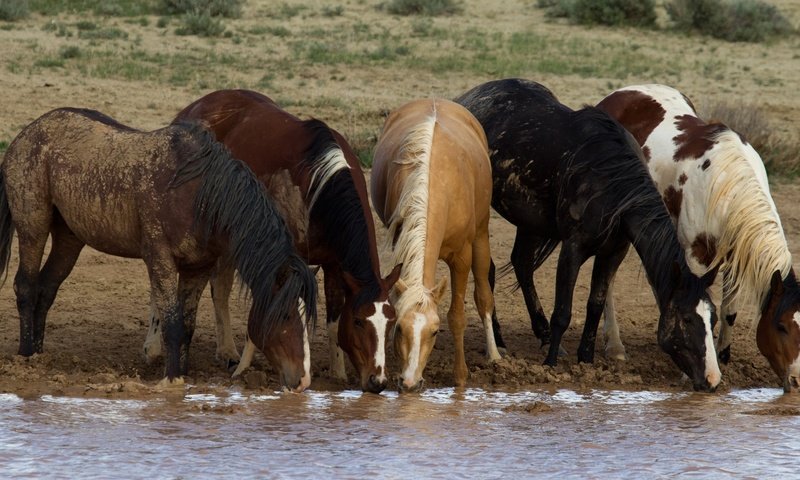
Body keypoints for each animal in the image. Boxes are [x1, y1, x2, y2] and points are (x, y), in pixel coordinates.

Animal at [0, 107, 318, 392]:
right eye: (285, 314)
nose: (303, 381)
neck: (198, 195)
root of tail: (24, 135)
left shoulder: (197, 268)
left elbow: (187, 324)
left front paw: (183, 373)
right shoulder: (160, 259)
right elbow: (172, 321)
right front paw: (172, 379)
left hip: (69, 237)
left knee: (46, 287)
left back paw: (40, 354)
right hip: (33, 226)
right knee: (26, 286)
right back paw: (26, 356)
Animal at [142, 90, 400, 394]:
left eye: (391, 322)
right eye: (359, 321)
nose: (377, 381)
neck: (318, 186)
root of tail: (192, 109)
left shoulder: (335, 265)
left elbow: (333, 319)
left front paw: (337, 372)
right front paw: (244, 369)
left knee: (220, 289)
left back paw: (226, 351)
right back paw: (152, 346)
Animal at [370, 97, 500, 390]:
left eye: (434, 332)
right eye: (400, 329)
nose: (409, 382)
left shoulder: (462, 257)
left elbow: (457, 316)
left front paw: (460, 375)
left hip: (481, 234)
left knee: (484, 296)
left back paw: (494, 355)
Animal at [454, 79, 720, 392]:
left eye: (713, 319)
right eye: (688, 319)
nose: (713, 379)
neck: (609, 184)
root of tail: (467, 98)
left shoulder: (614, 252)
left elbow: (595, 304)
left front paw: (586, 359)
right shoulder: (573, 248)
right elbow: (563, 311)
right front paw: (551, 364)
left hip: (530, 222)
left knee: (522, 265)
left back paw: (542, 334)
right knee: (489, 271)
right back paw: (501, 342)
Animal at [596, 84, 800, 392]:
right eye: (781, 326)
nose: (797, 381)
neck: (725, 185)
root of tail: (618, 95)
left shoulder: (733, 256)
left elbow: (728, 311)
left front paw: (722, 355)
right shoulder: (695, 255)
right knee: (607, 280)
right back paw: (615, 346)